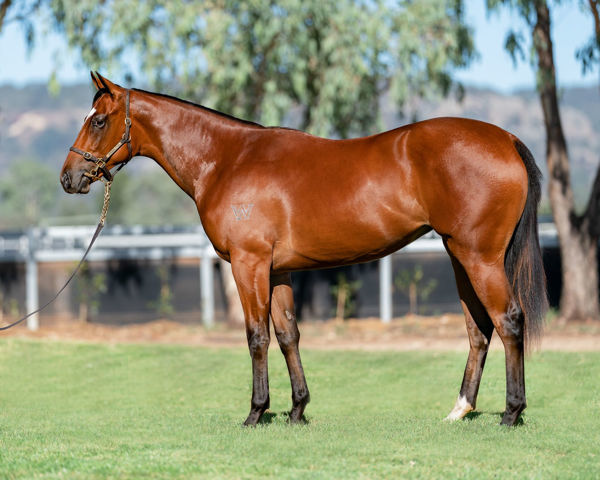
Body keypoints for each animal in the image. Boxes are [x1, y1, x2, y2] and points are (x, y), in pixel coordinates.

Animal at [62, 72, 548, 428]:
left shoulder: (249, 264)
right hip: (460, 257)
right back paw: (460, 409)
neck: (228, 159)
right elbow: (288, 335)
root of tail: (505, 139)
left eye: (99, 120)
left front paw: (256, 412)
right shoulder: (278, 271)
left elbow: (257, 336)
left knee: (508, 320)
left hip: (479, 257)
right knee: (478, 329)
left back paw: (511, 412)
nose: (69, 178)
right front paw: (297, 409)